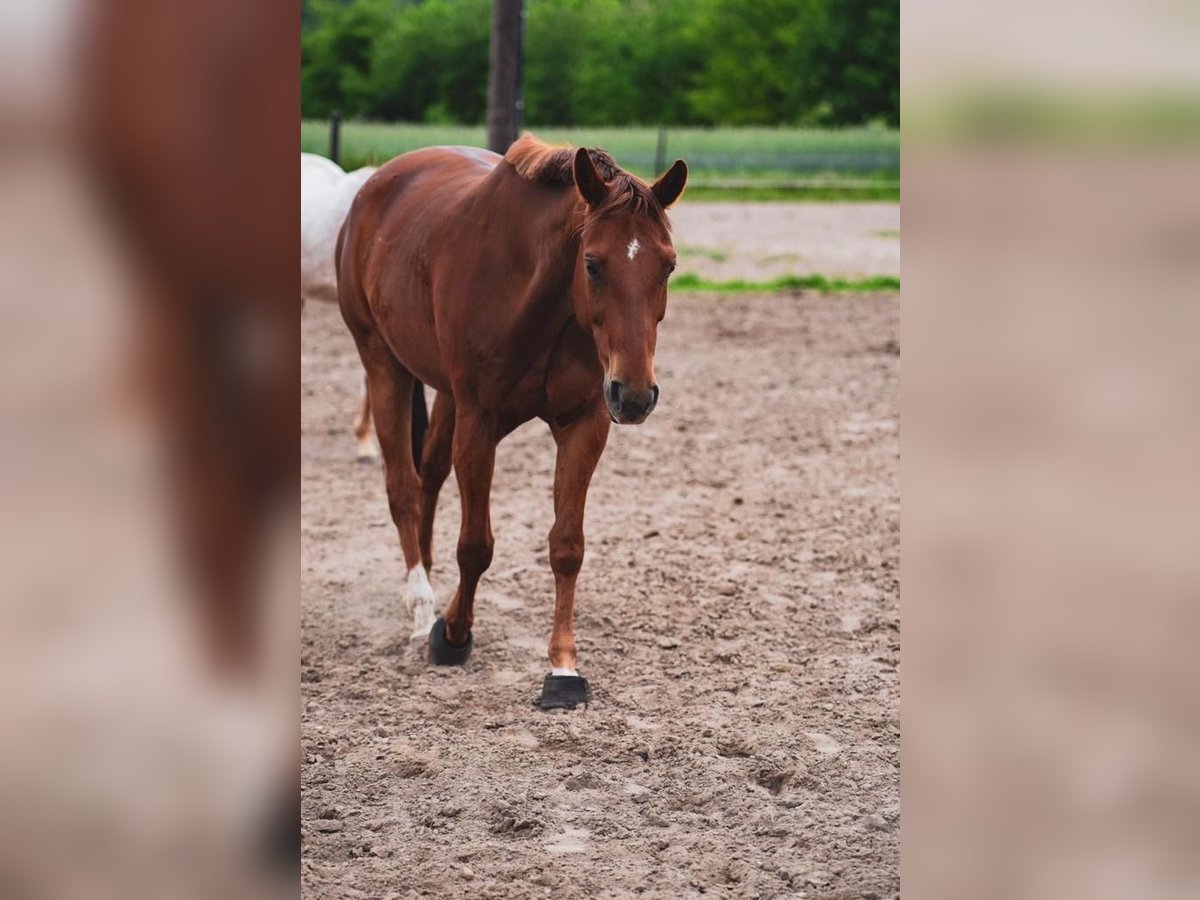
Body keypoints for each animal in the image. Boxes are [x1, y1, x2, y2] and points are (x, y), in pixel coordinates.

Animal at [338, 137, 691, 710]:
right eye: (592, 264)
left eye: (669, 266)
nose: (636, 395)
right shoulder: (479, 425)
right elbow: (475, 545)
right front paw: (452, 635)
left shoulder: (584, 424)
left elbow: (567, 545)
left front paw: (563, 669)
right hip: (382, 363)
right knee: (403, 487)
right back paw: (419, 603)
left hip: (444, 391)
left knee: (429, 474)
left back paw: (428, 573)